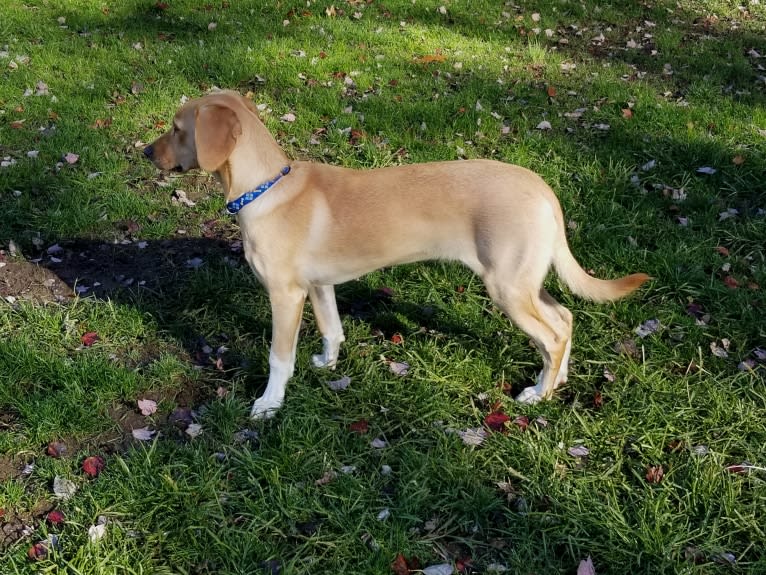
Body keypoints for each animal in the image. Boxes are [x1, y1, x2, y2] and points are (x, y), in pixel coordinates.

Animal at [142, 92, 648, 420]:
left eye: (177, 129)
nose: (145, 152)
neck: (266, 189)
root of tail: (543, 189)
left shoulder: (285, 295)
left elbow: (278, 357)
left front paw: (269, 403)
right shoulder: (318, 286)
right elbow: (332, 329)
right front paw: (328, 364)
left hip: (507, 287)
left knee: (552, 335)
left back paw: (539, 394)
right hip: (526, 281)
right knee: (564, 318)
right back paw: (556, 380)